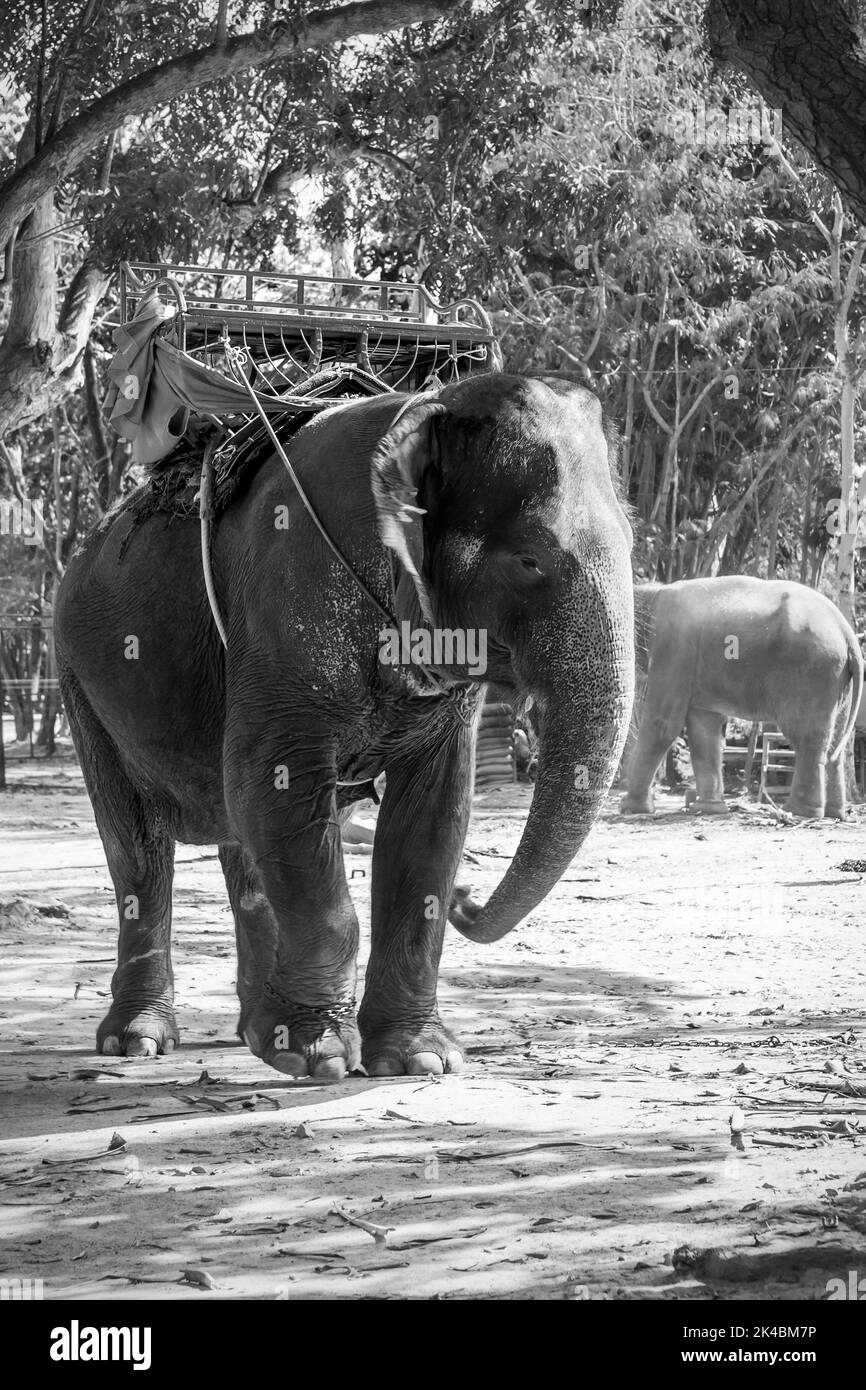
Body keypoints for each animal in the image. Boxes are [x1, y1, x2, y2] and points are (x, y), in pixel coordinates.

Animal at [55, 375, 636, 1078]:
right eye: (530, 560)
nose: (470, 895)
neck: (421, 413)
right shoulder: (291, 605)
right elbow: (270, 785)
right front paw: (318, 1058)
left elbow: (433, 814)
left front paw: (419, 1060)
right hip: (79, 679)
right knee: (138, 847)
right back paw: (138, 1041)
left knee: (238, 838)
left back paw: (252, 1033)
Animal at [619, 572, 861, 817]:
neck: (652, 592)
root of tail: (847, 633)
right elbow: (704, 728)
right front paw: (709, 808)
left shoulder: (674, 648)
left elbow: (663, 724)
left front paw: (630, 807)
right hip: (837, 680)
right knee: (835, 744)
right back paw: (835, 813)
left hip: (812, 671)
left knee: (806, 737)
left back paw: (798, 811)